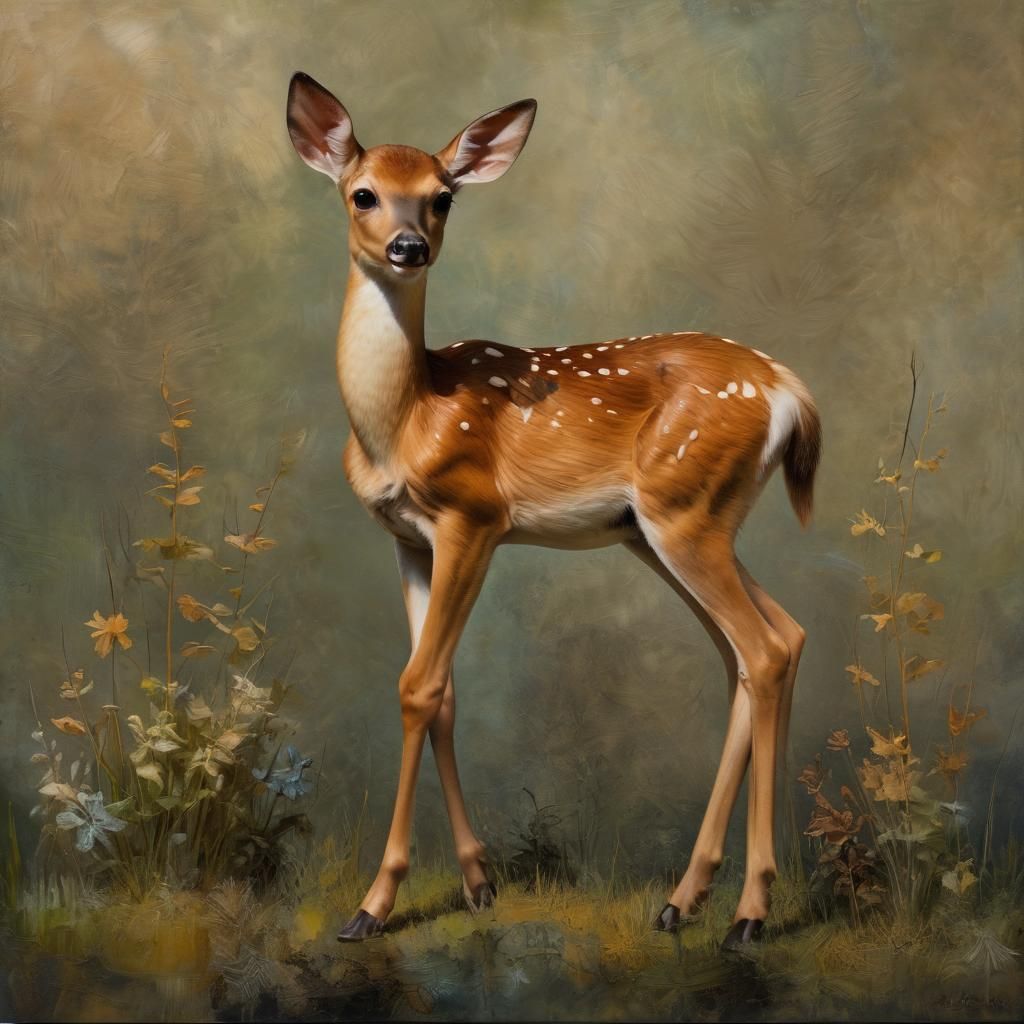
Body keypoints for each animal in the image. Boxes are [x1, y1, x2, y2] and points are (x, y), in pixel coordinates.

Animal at [286, 71, 821, 950]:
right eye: (363, 193)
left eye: (441, 197)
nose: (408, 246)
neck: (405, 419)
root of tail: (790, 390)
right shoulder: (406, 540)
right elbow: (444, 692)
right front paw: (476, 883)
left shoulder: (474, 518)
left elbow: (417, 685)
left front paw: (374, 903)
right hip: (675, 524)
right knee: (767, 643)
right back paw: (684, 899)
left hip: (685, 512)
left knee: (766, 649)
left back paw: (748, 912)